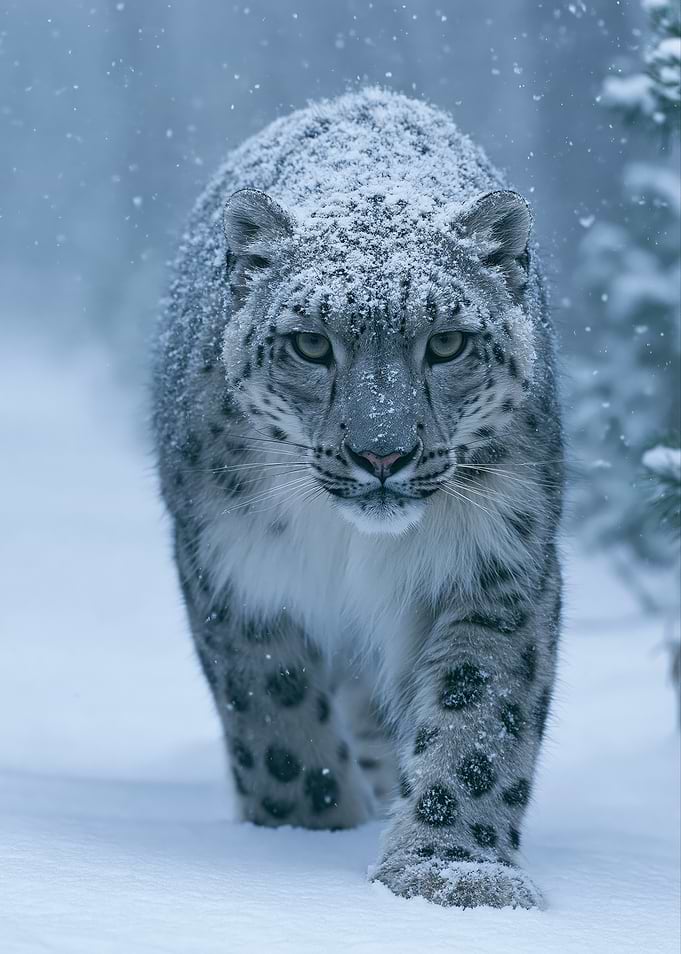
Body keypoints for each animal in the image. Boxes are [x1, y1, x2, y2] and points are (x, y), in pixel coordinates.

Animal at [152, 87, 564, 910]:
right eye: (311, 344)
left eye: (447, 343)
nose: (382, 454)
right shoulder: (236, 568)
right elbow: (274, 715)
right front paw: (309, 829)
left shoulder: (500, 559)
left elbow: (481, 717)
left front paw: (452, 872)